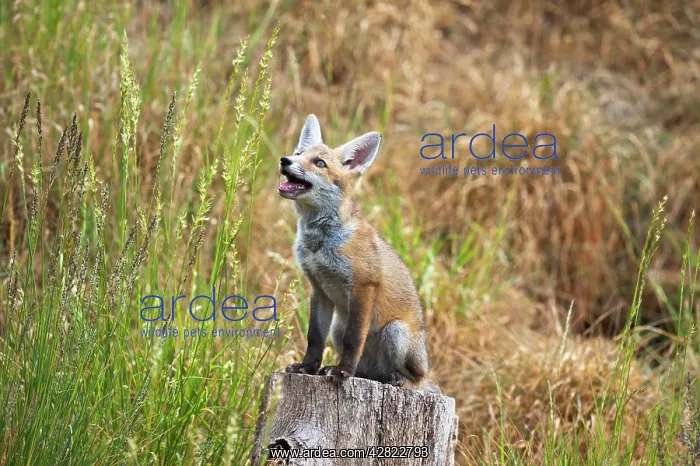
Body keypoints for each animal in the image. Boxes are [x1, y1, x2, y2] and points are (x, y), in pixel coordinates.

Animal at [279, 114, 438, 392]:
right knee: (369, 372)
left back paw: (399, 379)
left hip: (396, 332)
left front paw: (343, 372)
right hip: (338, 328)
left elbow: (354, 340)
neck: (321, 243)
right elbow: (314, 338)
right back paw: (347, 371)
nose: (285, 160)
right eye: (298, 153)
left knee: (414, 379)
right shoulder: (319, 290)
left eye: (319, 163)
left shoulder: (363, 286)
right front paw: (307, 368)